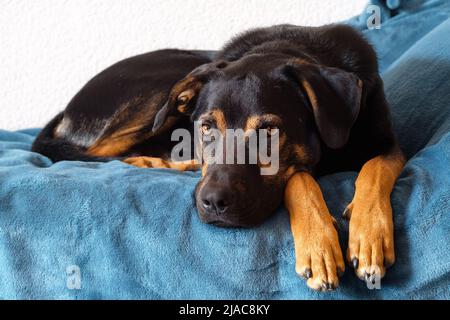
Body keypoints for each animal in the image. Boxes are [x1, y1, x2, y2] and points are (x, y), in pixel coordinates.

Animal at [31, 23, 404, 292]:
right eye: (207, 127)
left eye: (270, 130)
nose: (212, 202)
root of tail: (66, 111)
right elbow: (299, 177)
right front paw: (319, 243)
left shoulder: (390, 144)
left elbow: (374, 168)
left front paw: (369, 236)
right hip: (163, 87)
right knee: (97, 153)